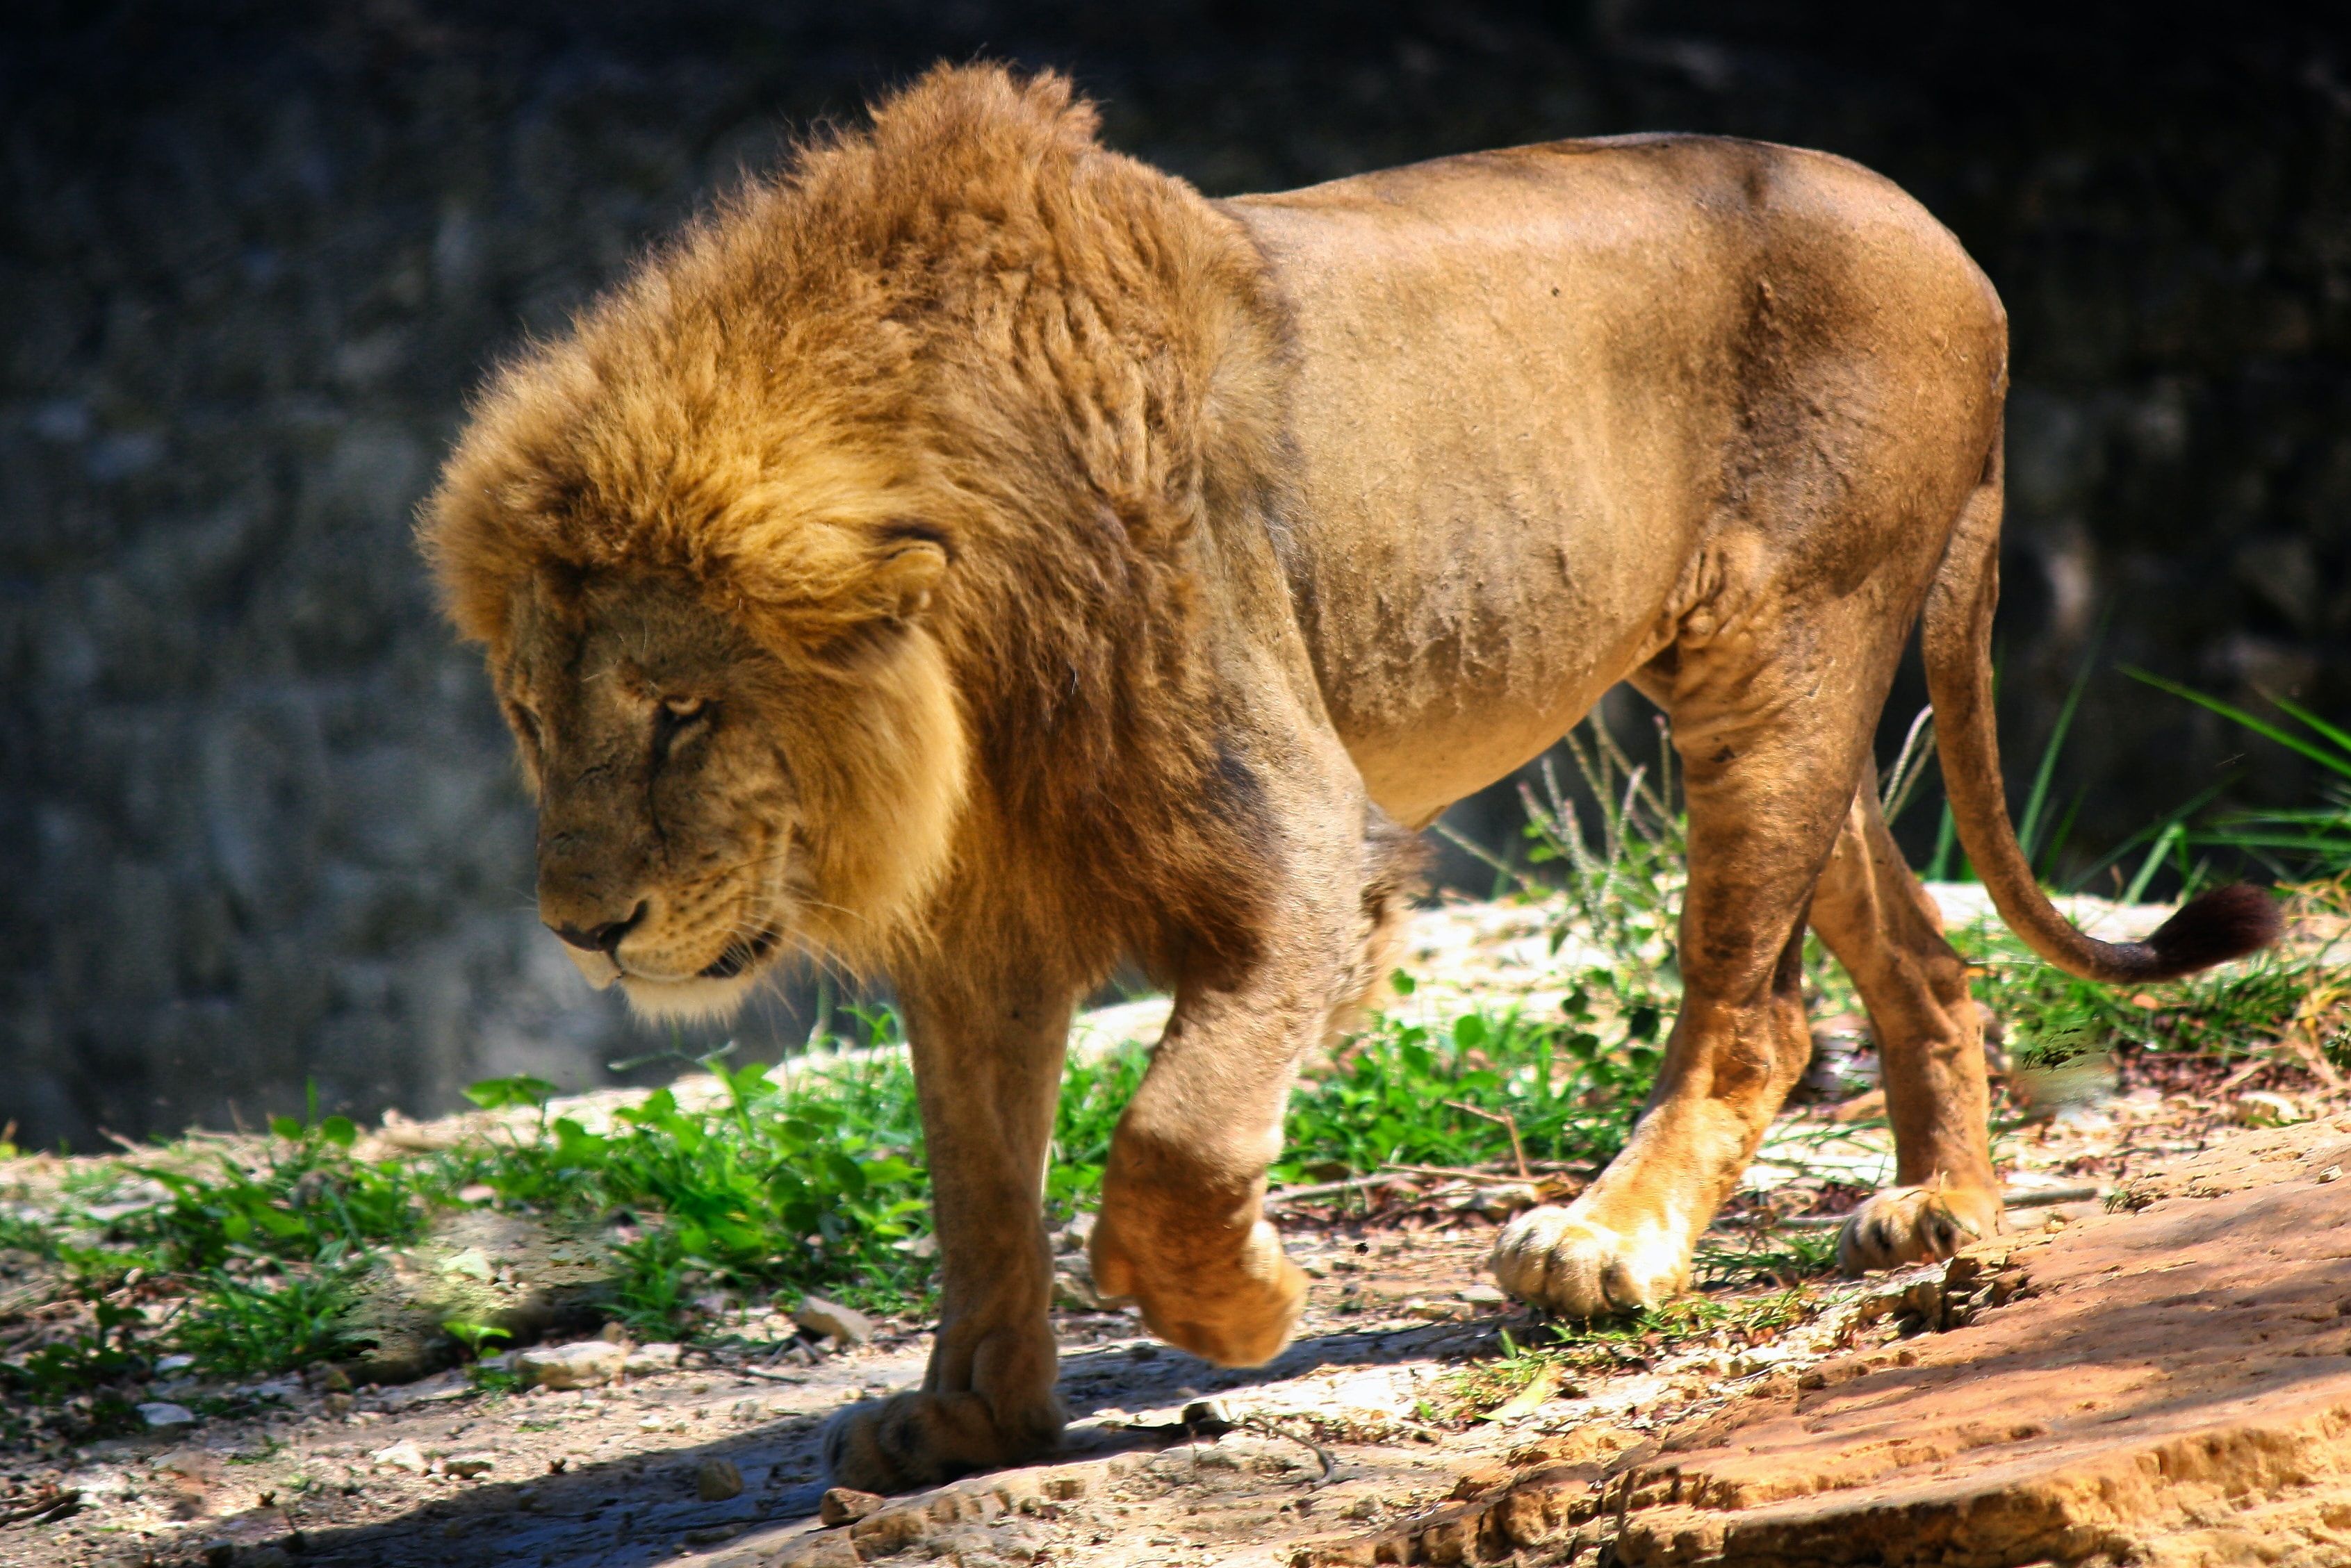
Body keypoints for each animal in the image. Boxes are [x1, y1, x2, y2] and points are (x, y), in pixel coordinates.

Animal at [423, 67, 2275, 1495]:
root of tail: (1945, 238)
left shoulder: (1301, 850)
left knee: (1752, 1010)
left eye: (681, 713)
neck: (970, 680)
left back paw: (1605, 1242)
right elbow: (976, 1189)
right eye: (526, 712)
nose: (583, 928)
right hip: (1753, 689)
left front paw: (1241, 1308)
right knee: (1923, 957)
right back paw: (1939, 1211)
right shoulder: (976, 926)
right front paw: (973, 1418)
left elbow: (1169, 1145)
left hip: (1788, 648)